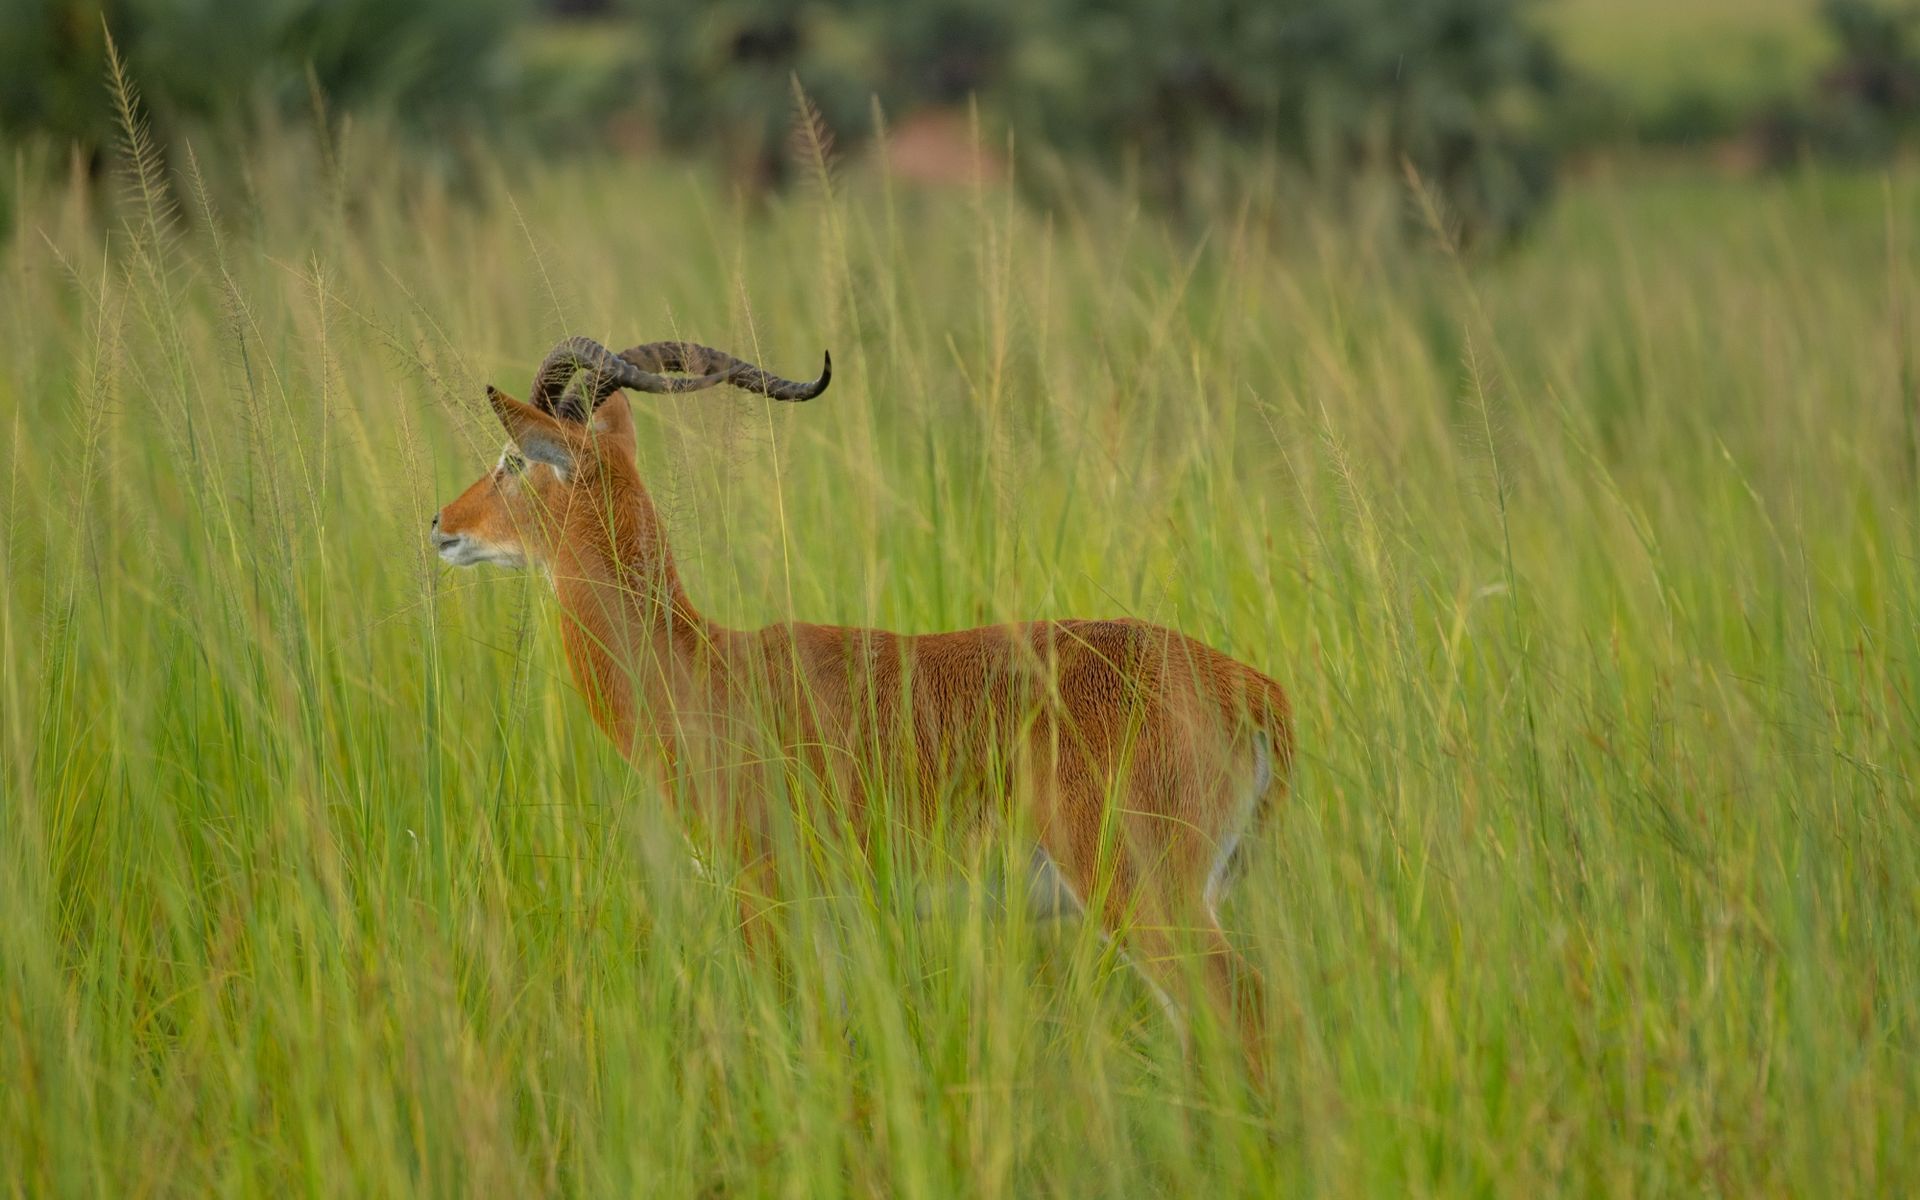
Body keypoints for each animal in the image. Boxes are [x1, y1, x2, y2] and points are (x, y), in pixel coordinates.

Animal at [430, 337, 1294, 1069]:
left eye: (513, 459)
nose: (440, 523)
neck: (701, 668)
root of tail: (1250, 688)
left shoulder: (765, 897)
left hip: (1144, 897)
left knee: (1246, 1012)